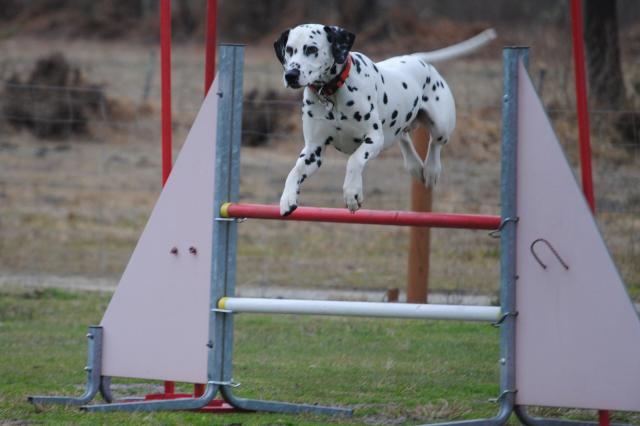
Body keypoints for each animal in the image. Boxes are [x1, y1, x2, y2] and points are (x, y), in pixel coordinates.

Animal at [276, 23, 456, 216]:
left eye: (311, 49)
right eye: (289, 49)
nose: (291, 74)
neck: (333, 92)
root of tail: (419, 59)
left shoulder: (373, 138)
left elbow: (354, 160)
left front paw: (352, 193)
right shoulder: (313, 150)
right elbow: (295, 171)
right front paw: (287, 197)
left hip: (441, 125)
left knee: (435, 144)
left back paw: (431, 170)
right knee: (403, 137)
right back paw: (414, 165)